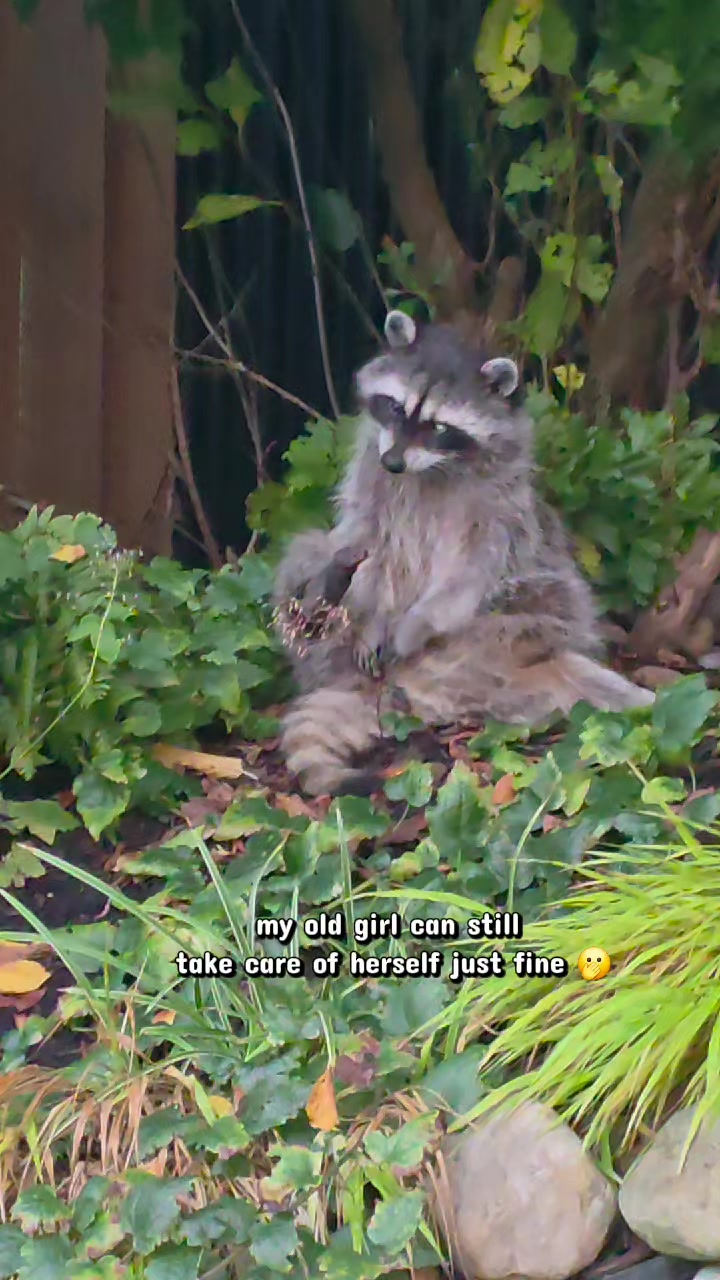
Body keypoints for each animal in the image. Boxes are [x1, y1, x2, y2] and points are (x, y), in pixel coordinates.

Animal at [273, 310, 654, 796]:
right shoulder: (370, 473)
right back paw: (323, 598)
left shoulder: (498, 507)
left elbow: (471, 571)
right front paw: (373, 615)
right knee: (310, 552)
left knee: (554, 603)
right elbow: (368, 543)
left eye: (439, 427)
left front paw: (417, 621)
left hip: (522, 624)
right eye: (395, 407)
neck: (429, 468)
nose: (394, 463)